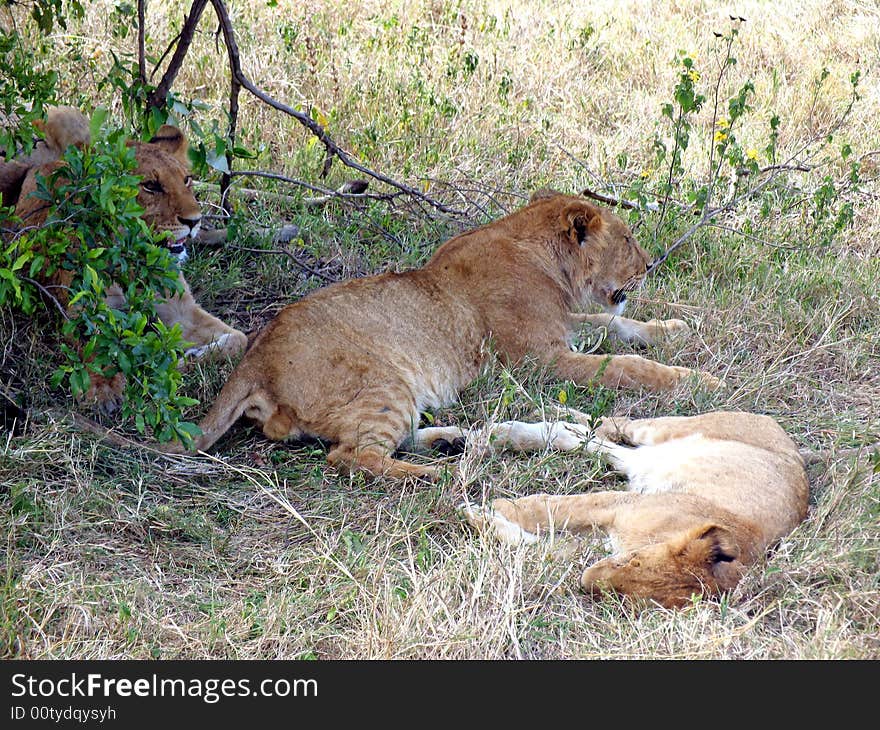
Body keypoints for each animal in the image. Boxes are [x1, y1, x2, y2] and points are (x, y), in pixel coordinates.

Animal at [2, 105, 248, 410]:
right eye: (151, 186)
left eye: (187, 180)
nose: (194, 220)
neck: (135, 262)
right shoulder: (83, 307)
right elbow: (95, 345)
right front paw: (104, 389)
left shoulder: (180, 309)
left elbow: (240, 340)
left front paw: (188, 359)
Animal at [440, 410, 812, 608]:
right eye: (632, 561)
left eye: (622, 596)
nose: (586, 583)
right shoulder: (621, 504)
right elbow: (545, 507)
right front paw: (486, 507)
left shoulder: (602, 536)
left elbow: (542, 548)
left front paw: (483, 517)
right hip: (674, 427)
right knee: (616, 424)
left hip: (647, 459)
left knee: (590, 442)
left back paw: (521, 432)